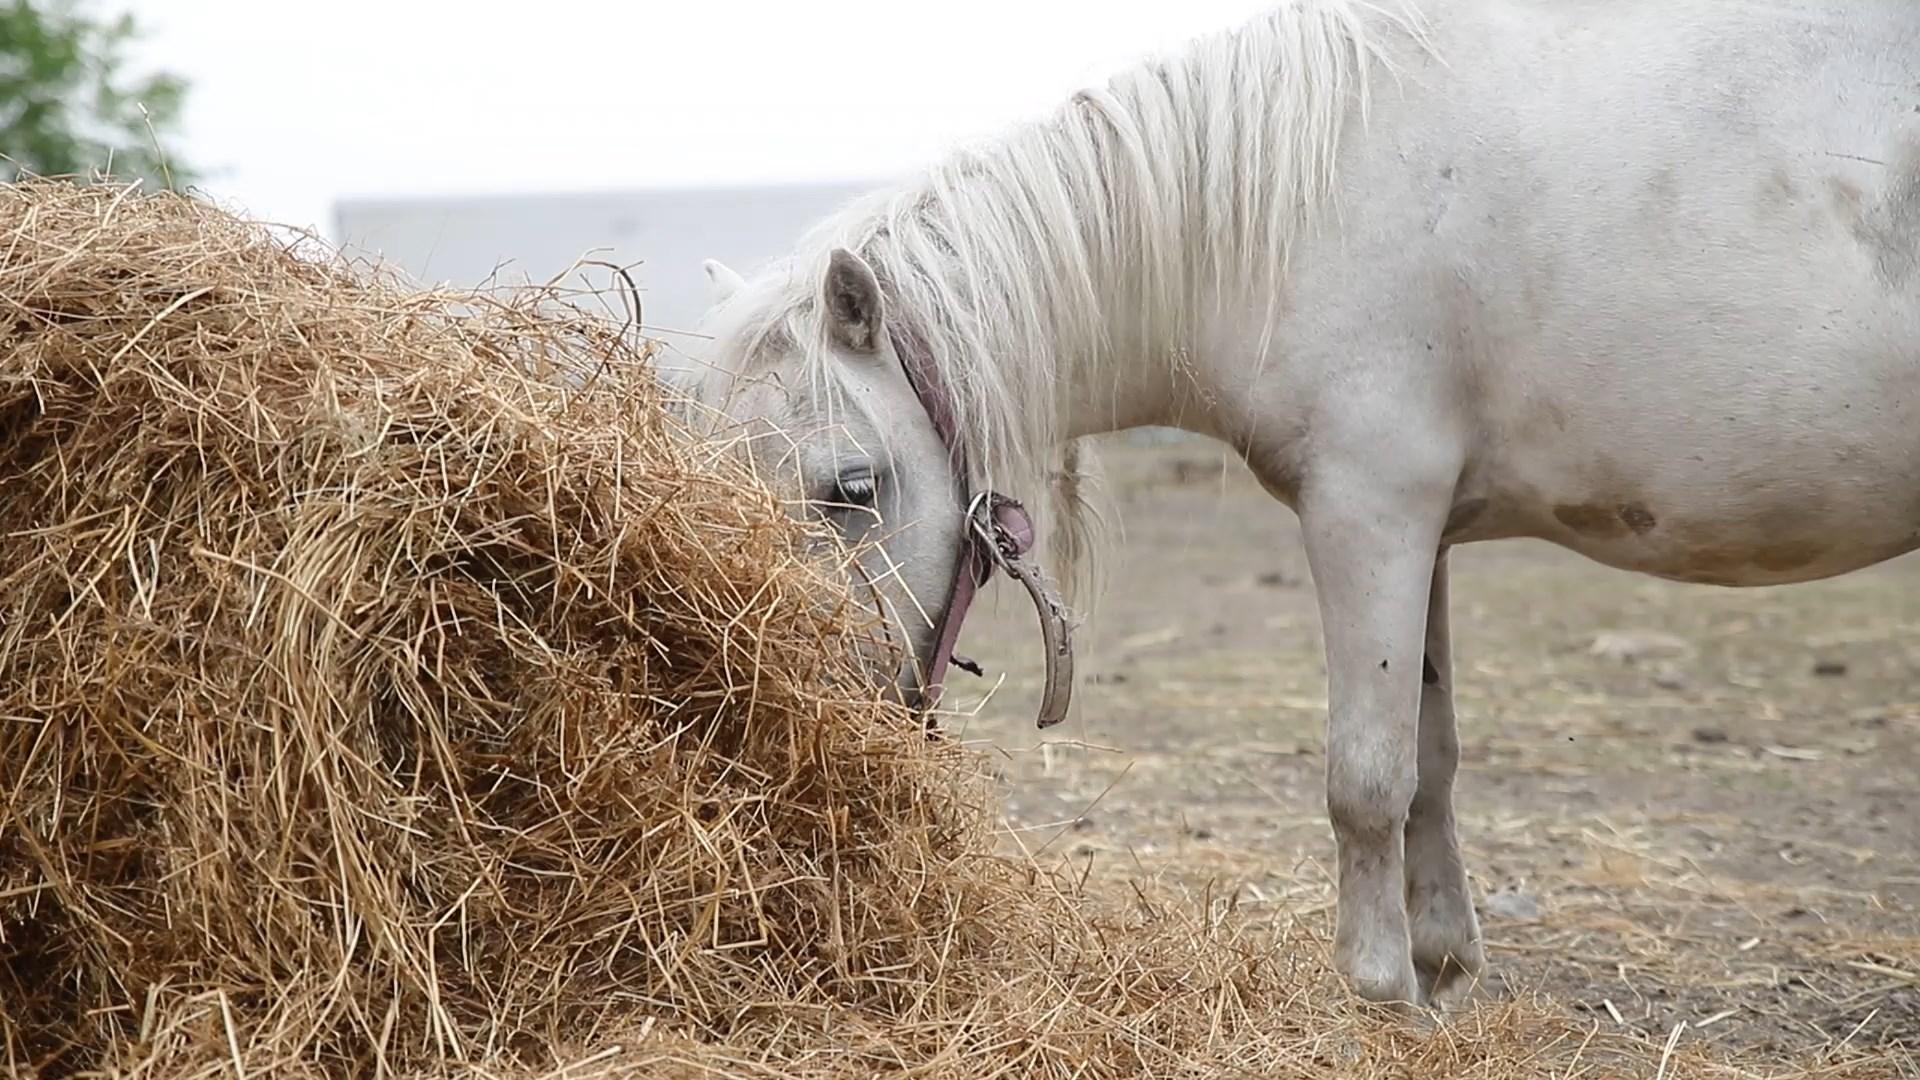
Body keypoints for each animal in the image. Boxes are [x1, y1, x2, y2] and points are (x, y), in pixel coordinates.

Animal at [672, 2, 1920, 1006]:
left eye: (850, 487)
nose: (773, 727)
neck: (1298, 210)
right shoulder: (1425, 534)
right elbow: (1430, 759)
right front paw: (1440, 964)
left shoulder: (1369, 514)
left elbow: (1364, 778)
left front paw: (1376, 991)